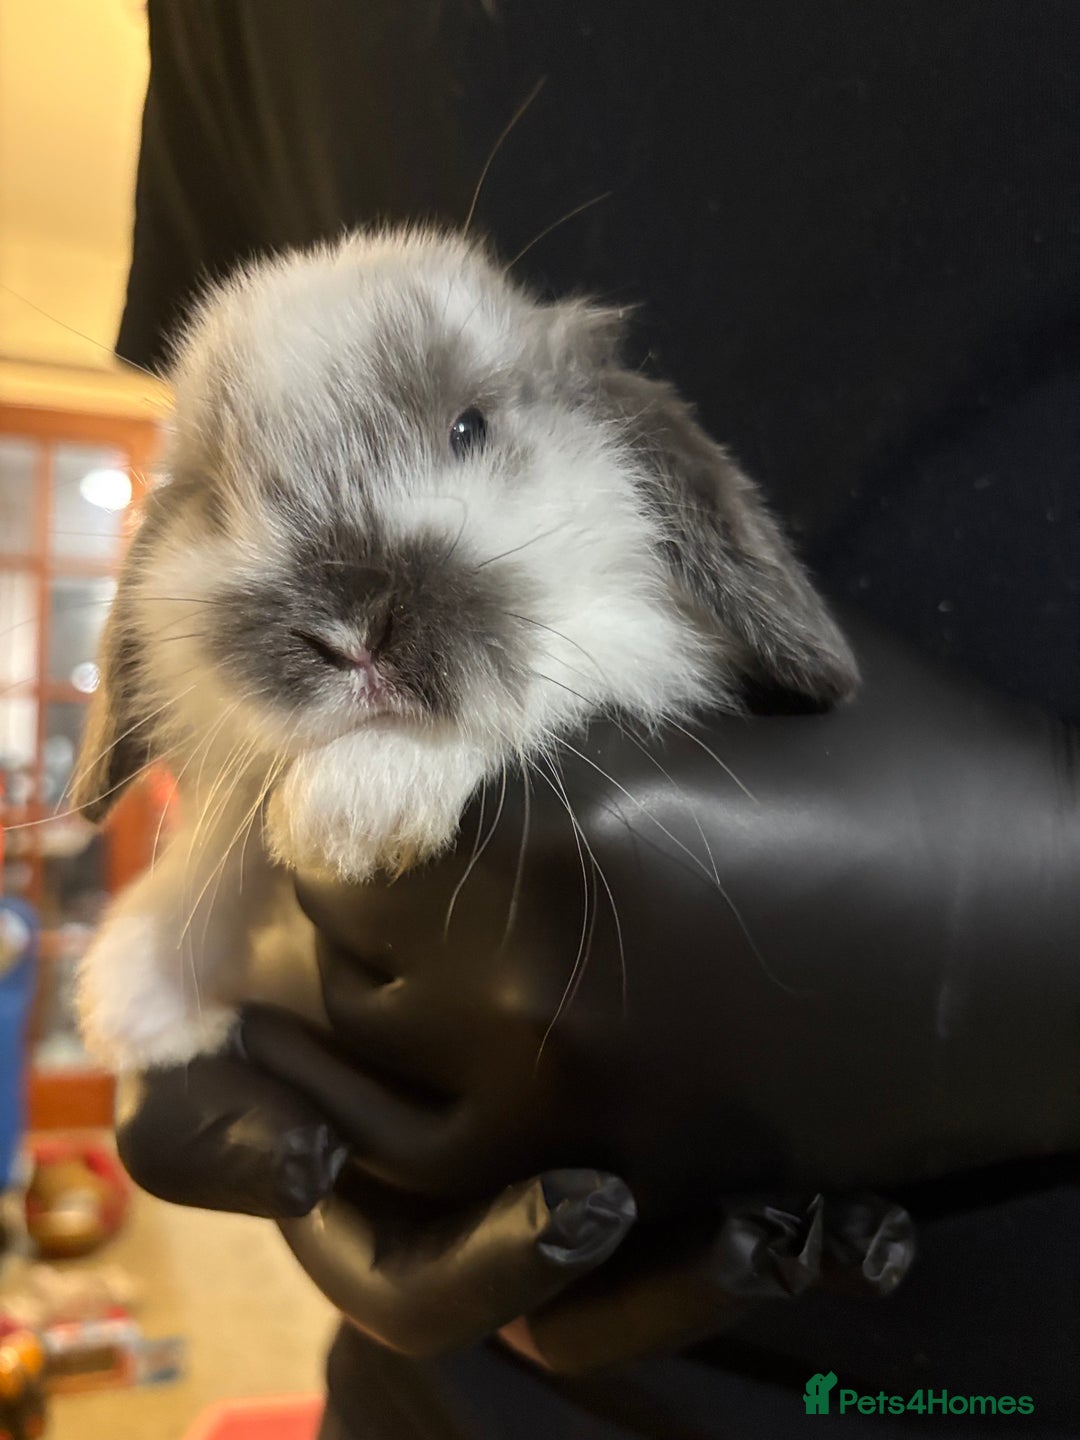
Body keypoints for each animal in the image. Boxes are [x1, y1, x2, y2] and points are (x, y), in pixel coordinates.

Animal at [71, 226, 858, 1072]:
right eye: (217, 502)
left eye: (468, 428)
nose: (349, 634)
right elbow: (231, 826)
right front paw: (139, 988)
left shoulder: (637, 636)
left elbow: (571, 656)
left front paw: (357, 800)